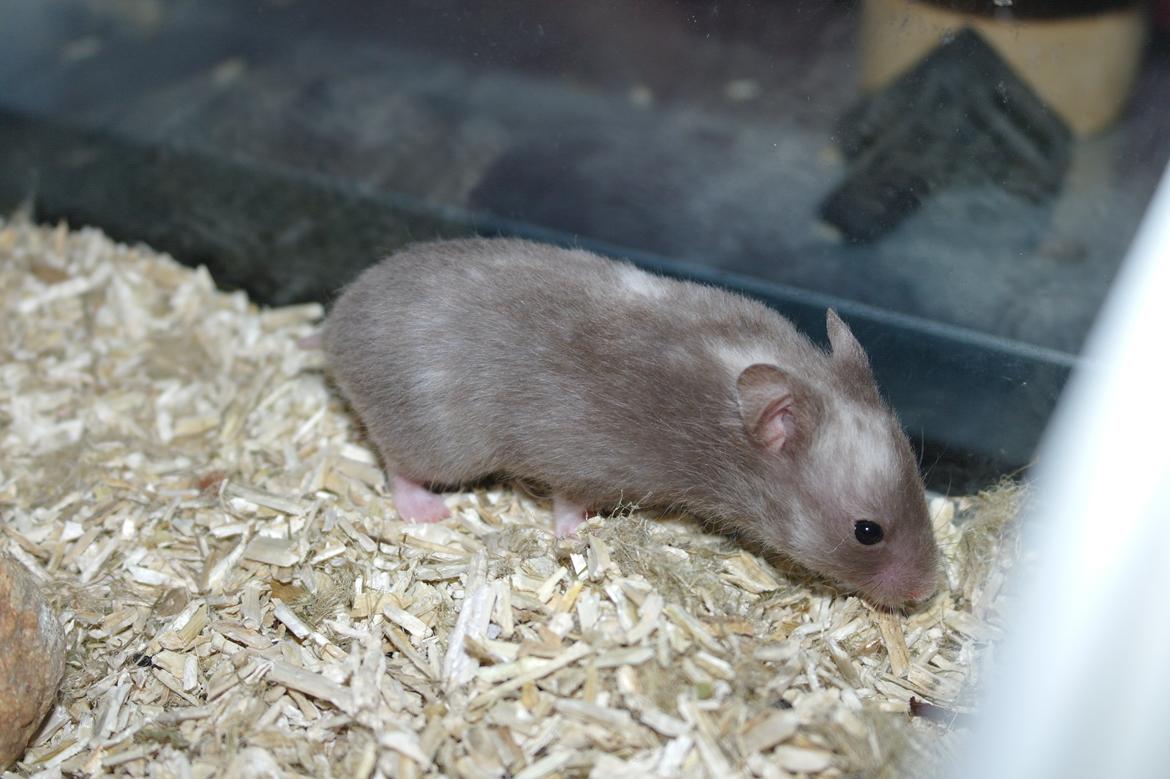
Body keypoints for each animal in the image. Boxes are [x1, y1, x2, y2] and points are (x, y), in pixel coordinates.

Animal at [323, 238, 940, 607]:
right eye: (867, 532)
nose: (928, 593)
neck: (724, 431)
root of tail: (333, 324)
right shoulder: (580, 461)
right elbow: (568, 504)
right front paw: (579, 534)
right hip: (439, 443)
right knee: (398, 467)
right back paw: (428, 511)